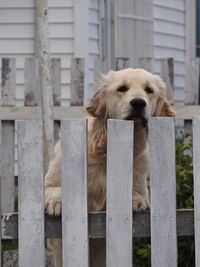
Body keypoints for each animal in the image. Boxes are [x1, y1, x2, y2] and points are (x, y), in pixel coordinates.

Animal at [44, 68, 175, 267]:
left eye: (149, 90)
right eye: (122, 88)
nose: (138, 103)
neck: (106, 151)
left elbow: (138, 194)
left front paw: (135, 200)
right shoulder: (47, 184)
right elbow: (55, 189)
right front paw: (56, 202)